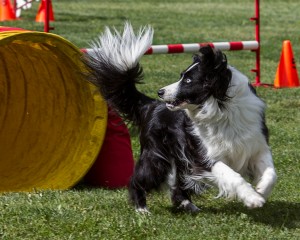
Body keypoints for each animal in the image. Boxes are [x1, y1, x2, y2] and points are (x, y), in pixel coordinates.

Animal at [84, 23, 276, 214]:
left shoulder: (256, 144)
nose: (160, 92)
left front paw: (261, 191)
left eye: (189, 80)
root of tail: (151, 105)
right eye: (182, 76)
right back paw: (142, 209)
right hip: (157, 156)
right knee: (138, 178)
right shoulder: (204, 156)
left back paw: (188, 205)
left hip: (180, 155)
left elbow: (271, 172)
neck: (223, 109)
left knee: (178, 183)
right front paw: (252, 199)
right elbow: (232, 174)